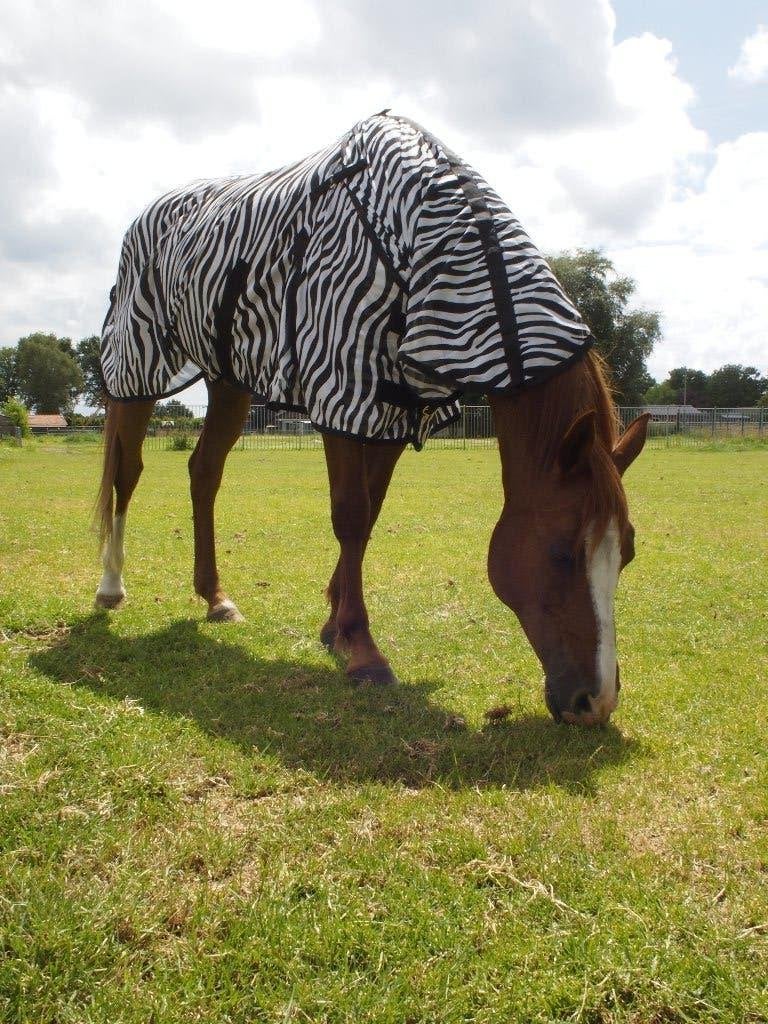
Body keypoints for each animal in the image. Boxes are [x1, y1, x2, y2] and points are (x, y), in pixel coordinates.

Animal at [95, 351, 648, 726]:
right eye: (562, 554)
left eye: (629, 554)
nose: (597, 702)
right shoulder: (341, 392)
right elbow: (352, 514)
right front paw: (362, 648)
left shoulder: (395, 411)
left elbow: (370, 509)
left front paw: (334, 624)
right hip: (139, 369)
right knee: (127, 471)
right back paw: (111, 586)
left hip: (229, 382)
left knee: (204, 472)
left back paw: (215, 596)